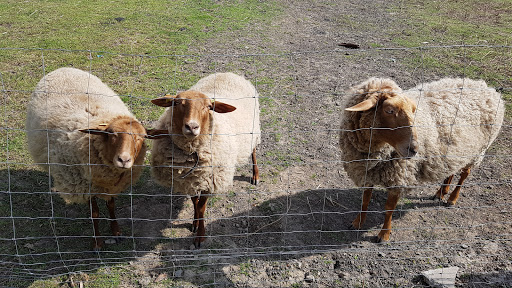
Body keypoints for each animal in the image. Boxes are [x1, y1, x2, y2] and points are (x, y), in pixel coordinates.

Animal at [26, 67, 154, 250]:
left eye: (141, 137)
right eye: (111, 134)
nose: (124, 160)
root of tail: (63, 68)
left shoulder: (109, 184)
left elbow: (111, 204)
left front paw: (116, 232)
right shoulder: (85, 185)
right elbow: (95, 213)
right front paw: (97, 242)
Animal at [148, 72, 260, 248]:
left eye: (208, 107)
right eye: (177, 103)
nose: (192, 127)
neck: (192, 152)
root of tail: (228, 73)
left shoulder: (210, 180)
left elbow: (201, 206)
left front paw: (200, 236)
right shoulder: (189, 180)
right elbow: (195, 202)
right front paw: (194, 223)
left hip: (253, 131)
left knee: (254, 151)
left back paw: (255, 175)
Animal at [340, 77, 504, 243]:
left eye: (413, 110)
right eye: (389, 110)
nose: (415, 149)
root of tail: (486, 87)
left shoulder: (400, 178)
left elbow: (388, 209)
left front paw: (384, 234)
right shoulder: (367, 173)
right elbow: (365, 200)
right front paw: (357, 222)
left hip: (477, 152)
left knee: (464, 175)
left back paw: (452, 199)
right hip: (456, 152)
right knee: (451, 170)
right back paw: (441, 192)